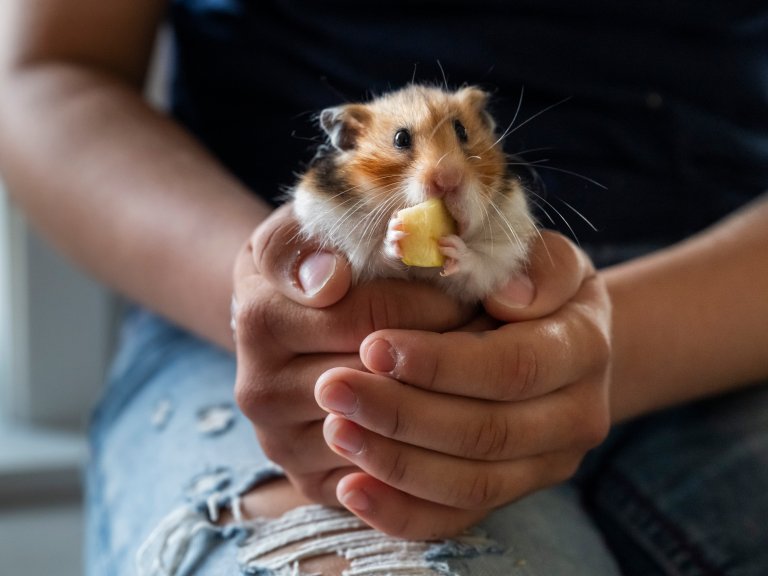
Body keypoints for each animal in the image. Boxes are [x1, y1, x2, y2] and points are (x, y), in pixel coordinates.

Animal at [291, 84, 538, 302]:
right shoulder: (338, 233)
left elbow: (477, 266)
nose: (448, 180)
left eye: (462, 131)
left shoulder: (498, 258)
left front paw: (455, 249)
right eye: (401, 138)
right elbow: (374, 257)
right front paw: (395, 233)